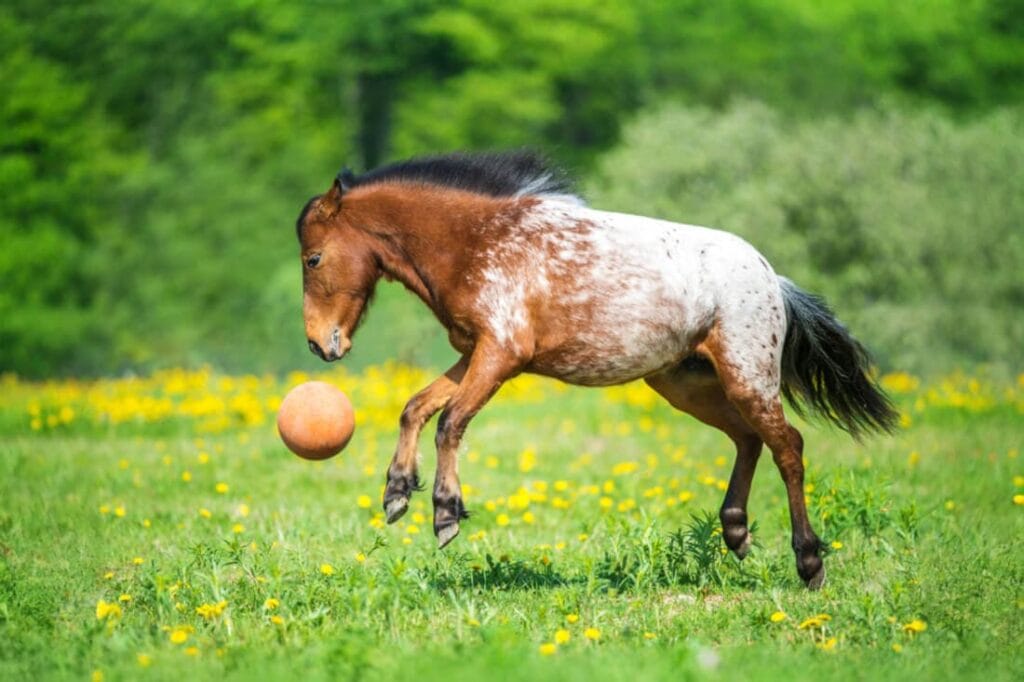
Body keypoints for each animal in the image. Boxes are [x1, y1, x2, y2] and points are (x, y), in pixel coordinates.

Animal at [295, 150, 897, 589]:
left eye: (313, 259)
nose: (321, 345)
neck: (476, 243)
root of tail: (773, 278)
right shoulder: (474, 353)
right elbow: (415, 407)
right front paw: (397, 493)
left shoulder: (501, 355)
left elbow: (450, 422)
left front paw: (445, 514)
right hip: (684, 383)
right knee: (748, 440)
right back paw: (736, 532)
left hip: (747, 376)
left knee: (787, 446)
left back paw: (809, 564)